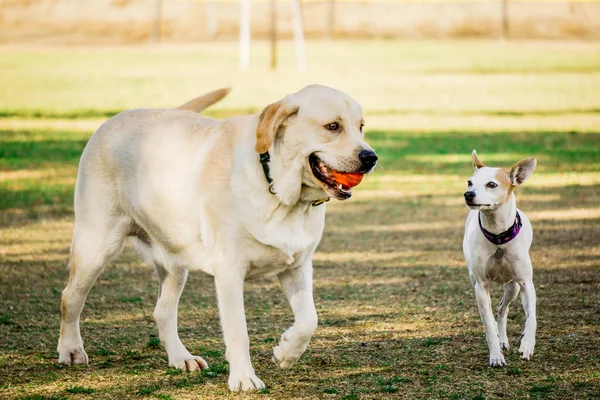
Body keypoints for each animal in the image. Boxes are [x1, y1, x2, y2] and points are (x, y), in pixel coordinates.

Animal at [56, 83, 376, 390]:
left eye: (361, 126)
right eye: (332, 126)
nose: (370, 157)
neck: (278, 190)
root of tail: (114, 119)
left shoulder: (296, 267)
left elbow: (310, 319)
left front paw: (285, 353)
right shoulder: (230, 272)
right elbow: (238, 332)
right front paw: (244, 378)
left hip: (174, 260)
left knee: (162, 312)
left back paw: (181, 358)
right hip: (97, 244)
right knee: (70, 296)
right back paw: (70, 350)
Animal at [464, 151, 540, 368]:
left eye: (491, 184)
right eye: (469, 182)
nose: (468, 194)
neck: (498, 237)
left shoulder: (526, 283)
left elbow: (532, 318)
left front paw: (527, 346)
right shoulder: (480, 286)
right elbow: (489, 325)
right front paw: (496, 356)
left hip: (513, 286)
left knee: (503, 309)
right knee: (497, 311)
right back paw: (501, 341)